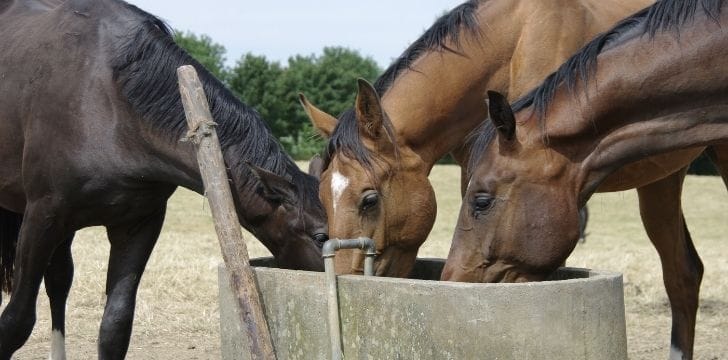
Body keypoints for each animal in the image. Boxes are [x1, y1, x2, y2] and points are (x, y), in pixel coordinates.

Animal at [0, 0, 328, 358]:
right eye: (321, 237)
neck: (109, 101)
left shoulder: (139, 223)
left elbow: (115, 325)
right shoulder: (42, 216)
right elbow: (16, 321)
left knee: (59, 279)